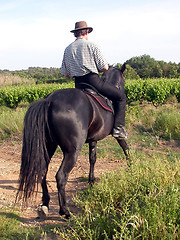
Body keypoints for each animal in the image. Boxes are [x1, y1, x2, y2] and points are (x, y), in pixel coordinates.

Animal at [17, 64, 129, 218]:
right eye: (123, 80)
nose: (123, 92)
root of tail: (49, 100)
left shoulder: (93, 139)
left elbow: (92, 158)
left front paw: (91, 180)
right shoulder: (116, 135)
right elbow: (125, 148)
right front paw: (132, 167)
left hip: (48, 146)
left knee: (43, 171)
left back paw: (45, 202)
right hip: (72, 151)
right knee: (61, 176)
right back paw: (64, 211)